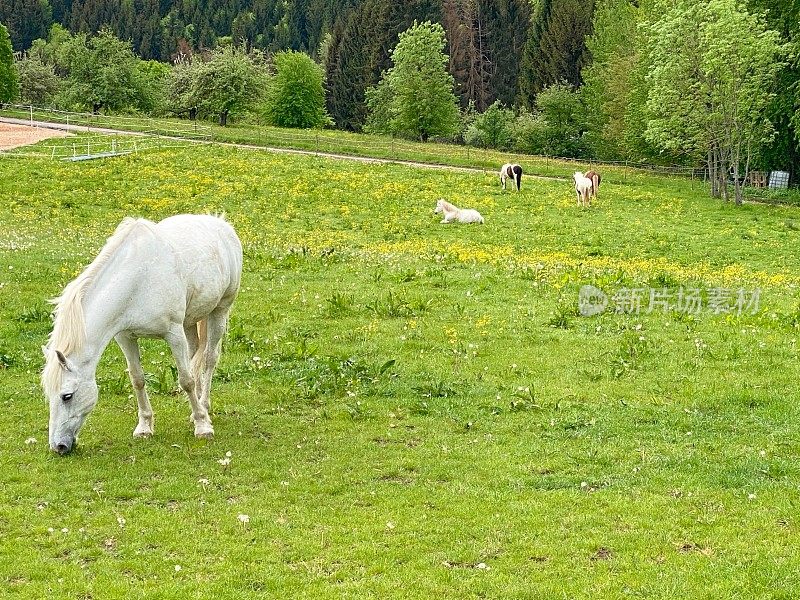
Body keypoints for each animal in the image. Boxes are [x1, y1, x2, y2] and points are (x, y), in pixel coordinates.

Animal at [42, 213, 242, 452]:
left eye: (67, 396)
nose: (58, 446)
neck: (138, 280)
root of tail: (221, 223)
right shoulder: (125, 337)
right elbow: (137, 379)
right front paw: (145, 427)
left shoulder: (174, 334)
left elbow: (186, 380)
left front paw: (203, 427)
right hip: (190, 320)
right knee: (196, 355)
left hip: (220, 309)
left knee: (210, 359)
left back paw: (204, 408)